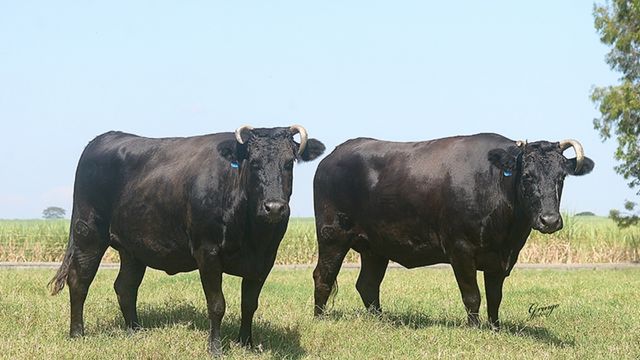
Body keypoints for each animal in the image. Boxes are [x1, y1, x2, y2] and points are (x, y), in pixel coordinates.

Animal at [50, 126, 324, 354]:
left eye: (289, 163)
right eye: (254, 163)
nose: (274, 207)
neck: (252, 233)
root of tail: (104, 137)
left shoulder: (264, 259)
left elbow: (249, 304)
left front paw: (246, 343)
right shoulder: (208, 252)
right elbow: (217, 304)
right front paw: (215, 348)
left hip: (133, 248)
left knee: (125, 286)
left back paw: (136, 331)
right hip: (88, 233)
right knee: (79, 281)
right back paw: (77, 334)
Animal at [312, 133, 592, 330]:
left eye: (561, 177)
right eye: (527, 176)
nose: (549, 220)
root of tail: (333, 156)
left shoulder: (500, 259)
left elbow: (495, 297)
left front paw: (495, 328)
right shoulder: (461, 249)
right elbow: (472, 295)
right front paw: (475, 328)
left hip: (376, 247)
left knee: (367, 284)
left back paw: (381, 320)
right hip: (332, 236)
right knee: (323, 276)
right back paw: (319, 318)